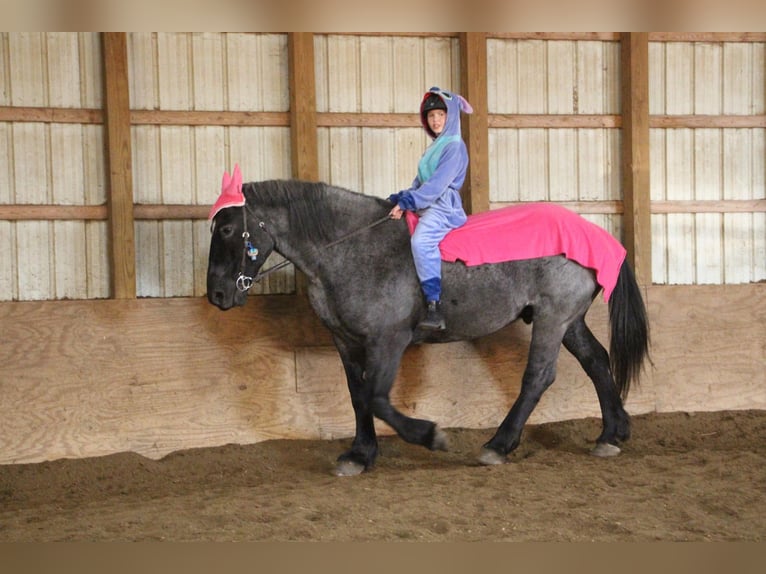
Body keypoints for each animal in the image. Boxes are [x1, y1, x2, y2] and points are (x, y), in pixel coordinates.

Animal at [207, 179, 652, 476]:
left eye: (226, 228)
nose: (216, 294)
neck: (352, 248)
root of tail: (594, 233)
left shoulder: (388, 339)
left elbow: (377, 397)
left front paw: (428, 436)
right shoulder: (346, 341)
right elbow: (358, 395)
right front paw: (360, 454)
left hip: (552, 318)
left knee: (538, 377)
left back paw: (498, 445)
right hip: (569, 321)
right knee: (597, 362)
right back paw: (612, 434)